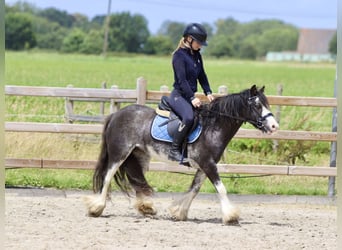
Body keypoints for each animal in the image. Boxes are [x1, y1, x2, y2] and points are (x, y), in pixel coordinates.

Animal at [84, 85, 280, 224]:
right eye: (257, 105)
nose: (274, 126)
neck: (212, 126)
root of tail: (116, 114)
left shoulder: (204, 165)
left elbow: (194, 189)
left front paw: (179, 212)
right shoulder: (208, 164)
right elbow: (221, 188)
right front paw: (231, 216)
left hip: (138, 155)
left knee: (136, 179)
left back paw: (146, 208)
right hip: (119, 154)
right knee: (107, 177)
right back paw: (96, 208)